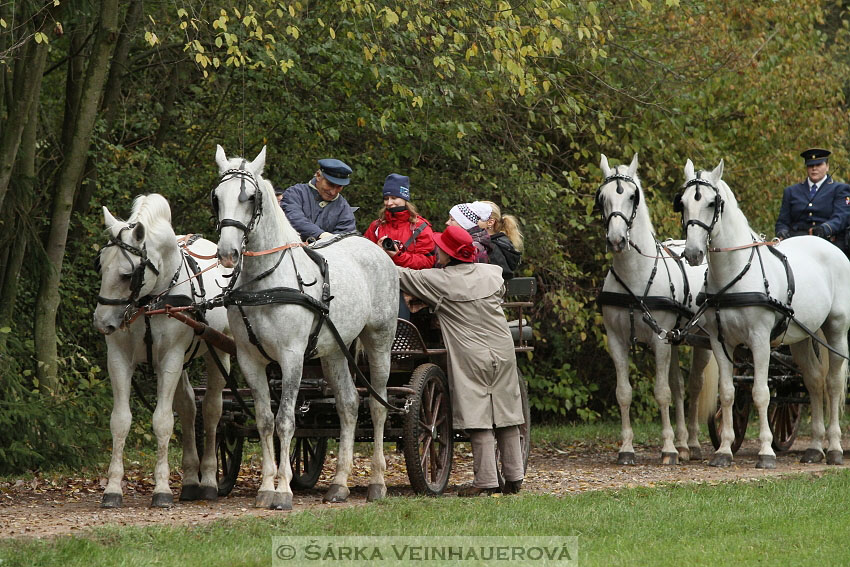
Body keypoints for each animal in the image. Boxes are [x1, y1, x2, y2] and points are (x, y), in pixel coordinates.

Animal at [93, 193, 229, 508]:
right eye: (100, 266)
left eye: (127, 274)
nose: (102, 322)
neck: (150, 302)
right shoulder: (119, 358)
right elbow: (120, 421)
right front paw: (113, 489)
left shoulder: (171, 357)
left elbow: (163, 421)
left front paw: (162, 490)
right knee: (189, 408)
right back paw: (190, 482)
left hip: (219, 351)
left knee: (212, 410)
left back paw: (208, 481)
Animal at [596, 153, 716, 464]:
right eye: (602, 197)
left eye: (632, 196)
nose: (616, 239)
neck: (635, 276)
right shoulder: (617, 340)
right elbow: (624, 393)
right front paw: (626, 449)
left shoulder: (659, 342)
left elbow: (661, 392)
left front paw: (668, 449)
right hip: (675, 338)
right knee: (679, 385)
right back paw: (684, 443)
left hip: (703, 340)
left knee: (694, 386)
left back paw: (692, 444)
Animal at [676, 161, 848, 470]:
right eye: (682, 203)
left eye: (711, 203)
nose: (693, 254)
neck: (735, 273)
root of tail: (830, 247)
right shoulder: (721, 343)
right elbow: (727, 392)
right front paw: (724, 450)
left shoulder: (759, 341)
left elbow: (761, 393)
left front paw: (766, 452)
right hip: (801, 337)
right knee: (814, 381)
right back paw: (815, 448)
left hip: (837, 329)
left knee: (833, 384)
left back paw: (835, 448)